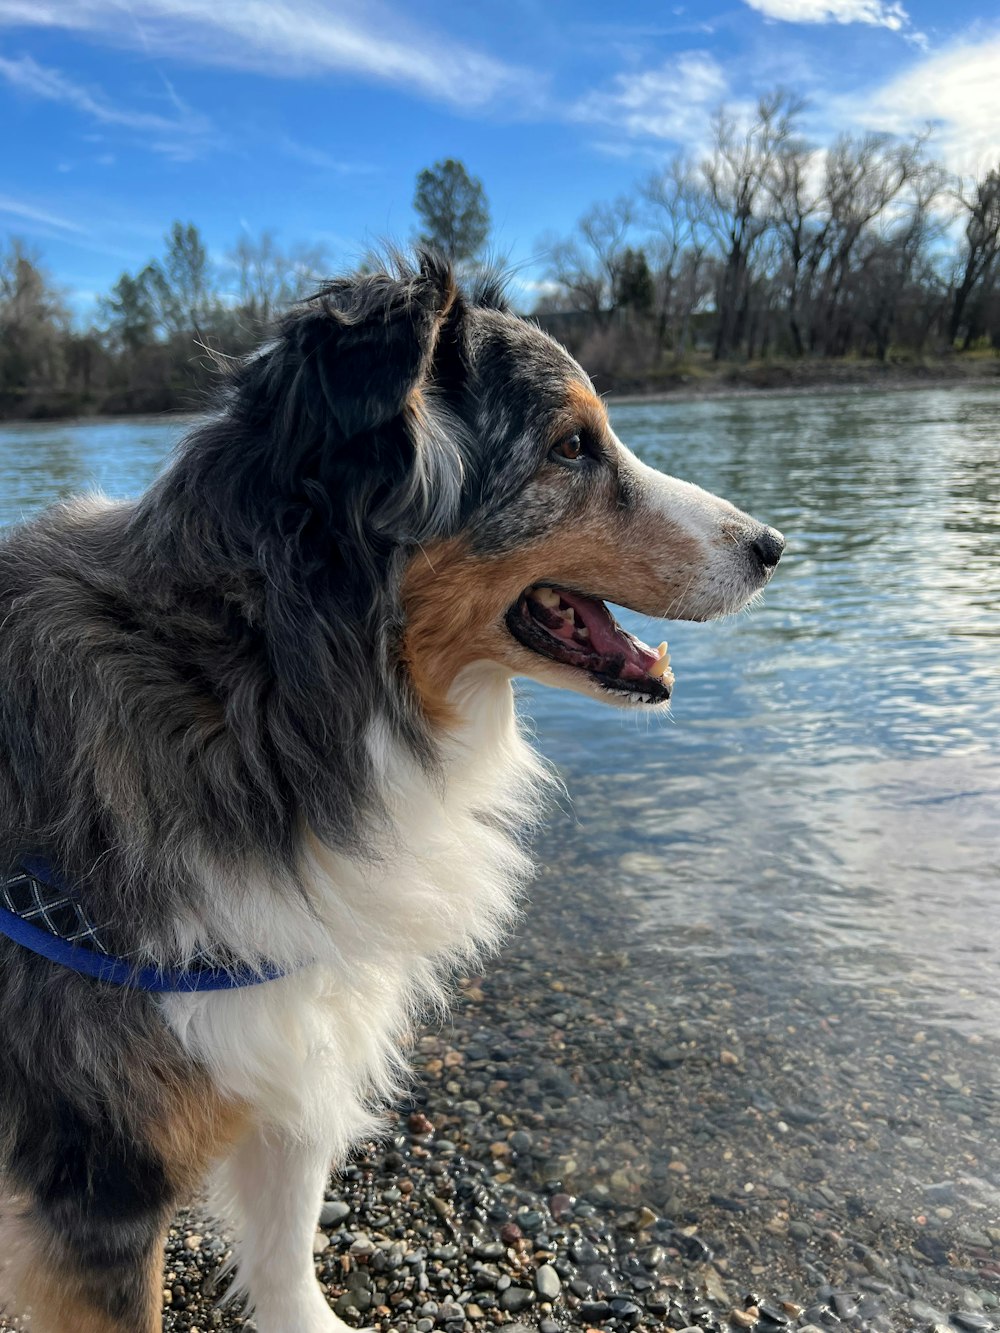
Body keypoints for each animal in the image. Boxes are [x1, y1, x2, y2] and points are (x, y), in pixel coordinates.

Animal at [0, 251, 784, 1333]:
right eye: (571, 446)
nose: (772, 545)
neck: (261, 688)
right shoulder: (98, 1176)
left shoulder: (289, 1030)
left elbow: (288, 1252)